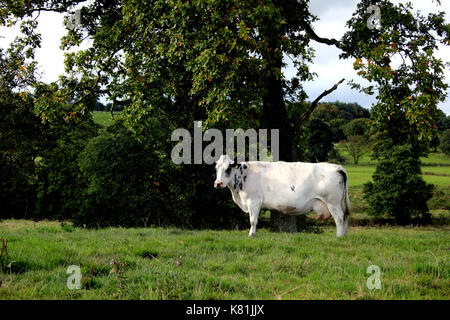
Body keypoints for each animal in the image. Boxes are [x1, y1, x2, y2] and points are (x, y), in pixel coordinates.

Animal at [213, 155, 350, 238]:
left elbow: (253, 220)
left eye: (228, 168)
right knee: (345, 216)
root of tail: (337, 167)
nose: (218, 183)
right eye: (216, 168)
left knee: (339, 218)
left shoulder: (254, 201)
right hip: (339, 202)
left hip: (332, 202)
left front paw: (251, 235)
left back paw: (338, 236)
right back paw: (343, 236)